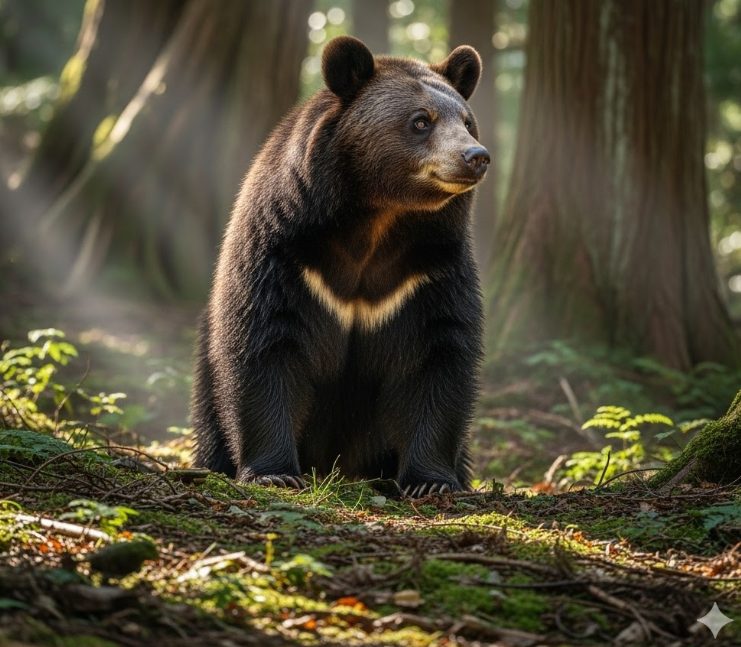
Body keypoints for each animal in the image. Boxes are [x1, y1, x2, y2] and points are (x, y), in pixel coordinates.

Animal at [191, 36, 489, 497]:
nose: (476, 156)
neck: (377, 218)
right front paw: (274, 471)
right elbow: (264, 341)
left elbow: (439, 351)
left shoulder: (428, 270)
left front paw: (432, 481)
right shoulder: (285, 253)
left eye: (468, 122)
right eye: (421, 121)